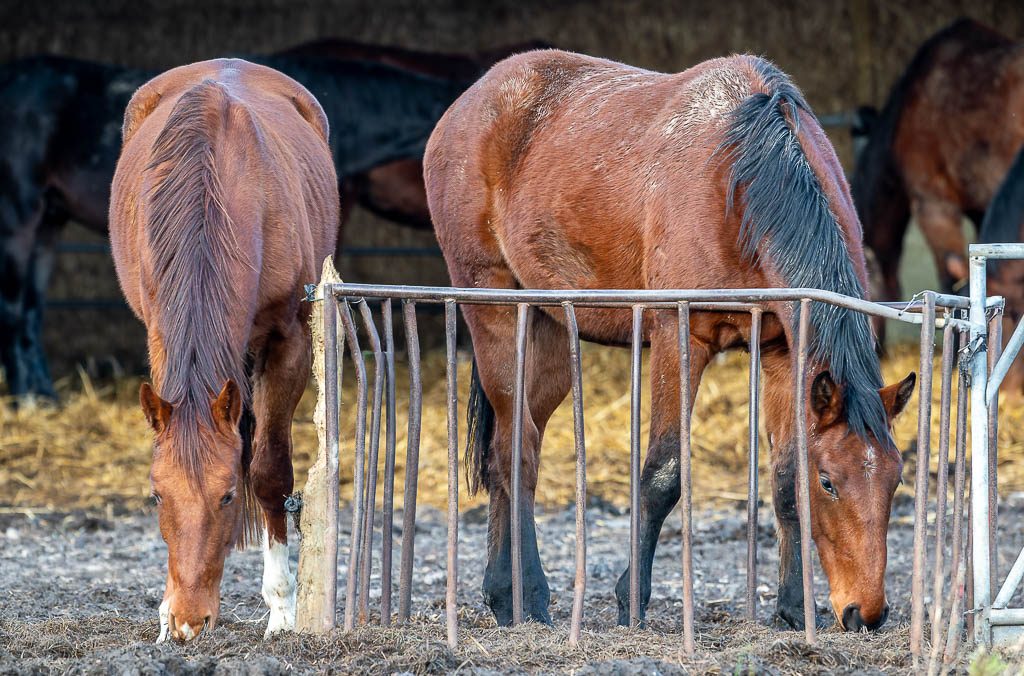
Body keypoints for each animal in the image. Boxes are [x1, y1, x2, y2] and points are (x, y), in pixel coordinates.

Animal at [0, 49, 465, 400]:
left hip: (48, 223)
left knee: (31, 307)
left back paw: (42, 391)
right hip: (20, 218)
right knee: (15, 304)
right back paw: (29, 397)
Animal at [108, 58, 338, 641]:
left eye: (227, 496)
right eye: (157, 496)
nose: (191, 620)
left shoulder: (288, 342)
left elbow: (269, 471)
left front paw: (282, 609)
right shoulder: (159, 333)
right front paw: (165, 613)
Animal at [424, 50, 916, 632]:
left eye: (895, 480)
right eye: (830, 482)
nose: (867, 612)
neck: (743, 180)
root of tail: (471, 100)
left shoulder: (781, 352)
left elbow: (782, 479)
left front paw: (795, 607)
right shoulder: (677, 337)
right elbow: (662, 476)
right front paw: (630, 601)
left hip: (548, 335)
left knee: (517, 443)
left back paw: (506, 595)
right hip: (493, 310)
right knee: (514, 452)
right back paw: (528, 597)